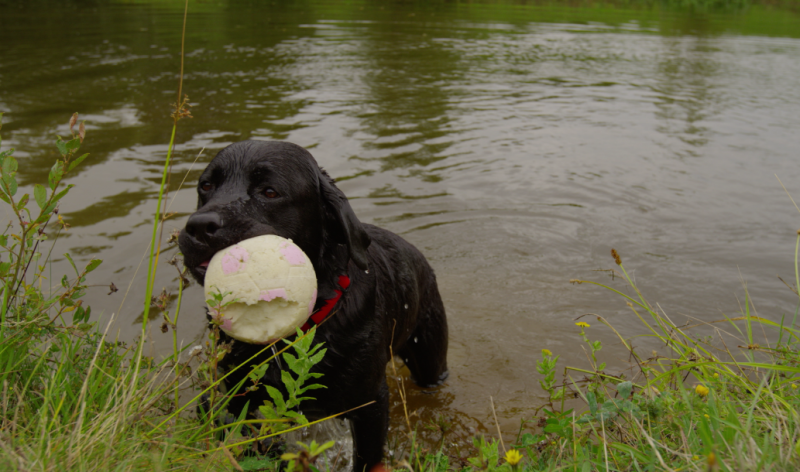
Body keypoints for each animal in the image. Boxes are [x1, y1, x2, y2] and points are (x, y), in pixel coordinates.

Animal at [177, 141, 446, 472]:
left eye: (269, 192)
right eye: (206, 186)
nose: (199, 226)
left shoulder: (369, 404)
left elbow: (366, 461)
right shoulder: (240, 398)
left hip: (430, 357)